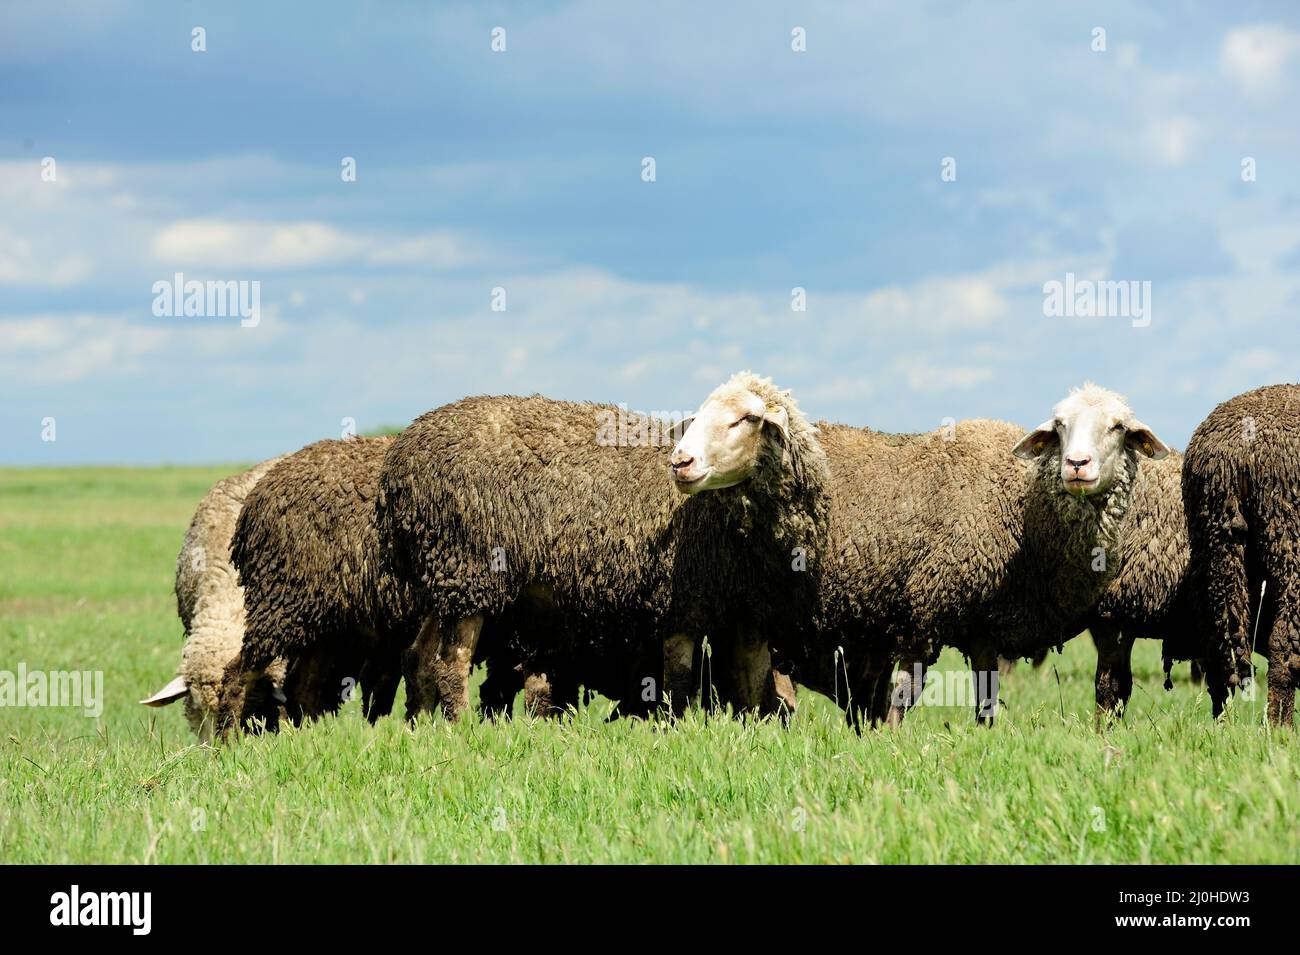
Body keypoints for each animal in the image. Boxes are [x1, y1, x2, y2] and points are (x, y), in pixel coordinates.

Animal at [376, 372, 827, 723]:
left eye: (749, 418)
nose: (680, 462)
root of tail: (397, 464)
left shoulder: (750, 611)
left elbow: (756, 682)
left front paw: (762, 732)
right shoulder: (681, 598)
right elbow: (680, 681)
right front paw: (679, 729)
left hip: (442, 575)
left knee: (418, 658)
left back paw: (421, 729)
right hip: (467, 566)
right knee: (450, 663)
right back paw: (461, 729)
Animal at [1182, 383, 1300, 724]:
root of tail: (1236, 452)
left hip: (1214, 550)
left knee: (1219, 653)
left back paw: (1222, 725)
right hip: (1287, 543)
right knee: (1283, 646)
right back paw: (1281, 729)